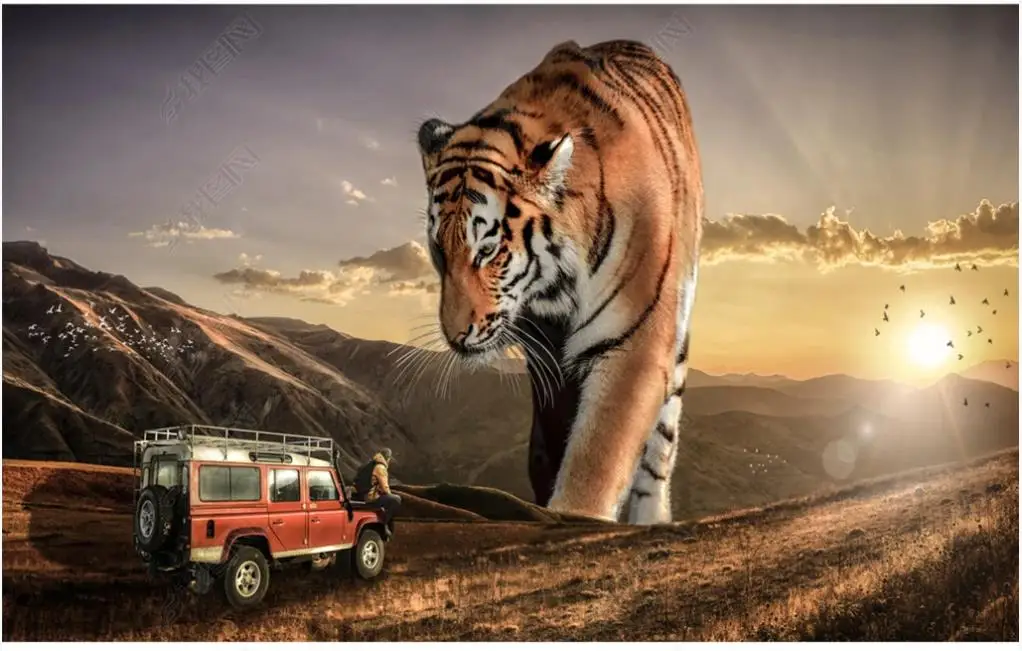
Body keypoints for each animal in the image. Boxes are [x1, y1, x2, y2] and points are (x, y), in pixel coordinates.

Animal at [415, 39, 703, 525]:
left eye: (487, 250)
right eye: (438, 250)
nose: (455, 336)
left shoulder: (634, 344)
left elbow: (598, 456)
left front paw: (576, 514)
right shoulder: (545, 362)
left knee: (659, 449)